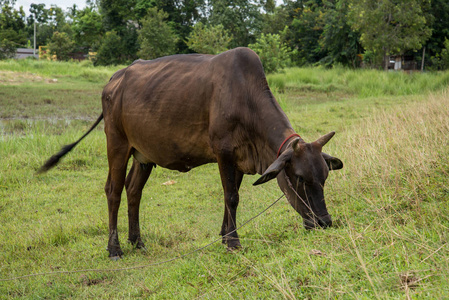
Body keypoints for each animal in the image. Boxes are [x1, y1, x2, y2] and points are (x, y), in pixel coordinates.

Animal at [41, 47, 344, 258]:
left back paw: (137, 241)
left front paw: (225, 236)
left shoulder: (238, 159)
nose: (324, 222)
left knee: (133, 190)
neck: (245, 99)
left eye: (325, 178)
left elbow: (230, 196)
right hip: (117, 143)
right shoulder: (223, 152)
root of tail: (114, 79)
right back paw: (114, 248)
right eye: (300, 178)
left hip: (143, 155)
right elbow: (231, 197)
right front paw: (233, 243)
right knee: (113, 190)